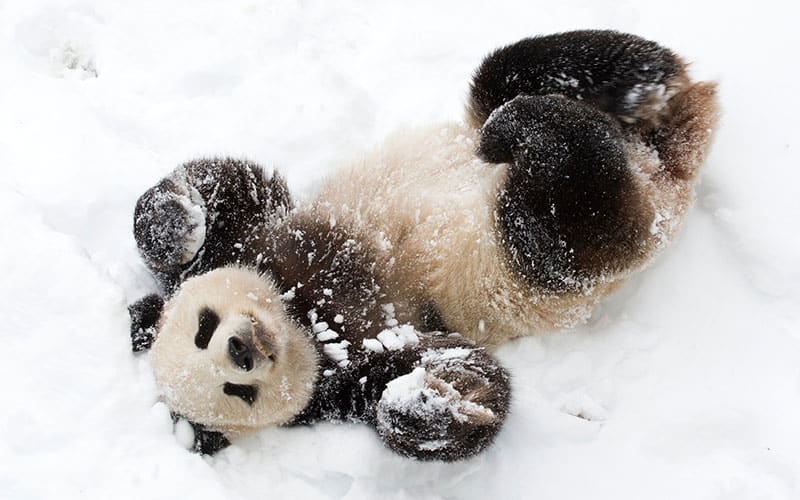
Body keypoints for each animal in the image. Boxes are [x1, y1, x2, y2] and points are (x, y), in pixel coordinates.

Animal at [130, 30, 720, 460]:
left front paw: (176, 224)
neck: (303, 312)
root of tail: (661, 164)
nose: (242, 350)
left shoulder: (261, 239)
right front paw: (425, 404)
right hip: (541, 256)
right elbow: (462, 375)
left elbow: (230, 186)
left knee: (511, 73)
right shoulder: (353, 365)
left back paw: (626, 86)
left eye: (204, 327)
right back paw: (554, 128)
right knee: (569, 215)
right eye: (237, 392)